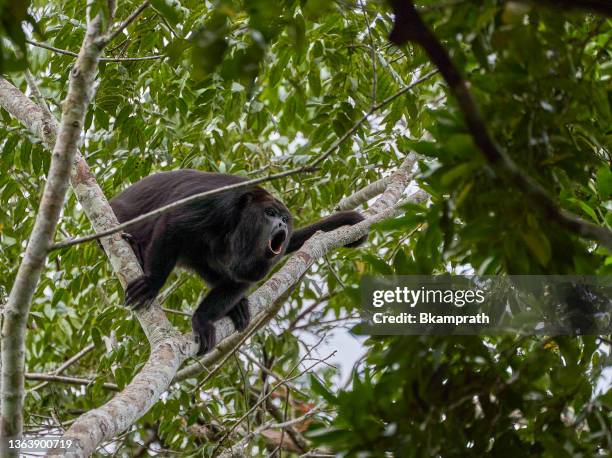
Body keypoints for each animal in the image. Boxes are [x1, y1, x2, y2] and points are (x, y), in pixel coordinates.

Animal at [109, 169, 366, 354]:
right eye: (270, 213)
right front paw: (152, 282)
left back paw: (238, 306)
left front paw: (203, 319)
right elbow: (172, 224)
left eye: (284, 218)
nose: (282, 225)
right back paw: (136, 248)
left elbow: (241, 280)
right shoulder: (217, 202)